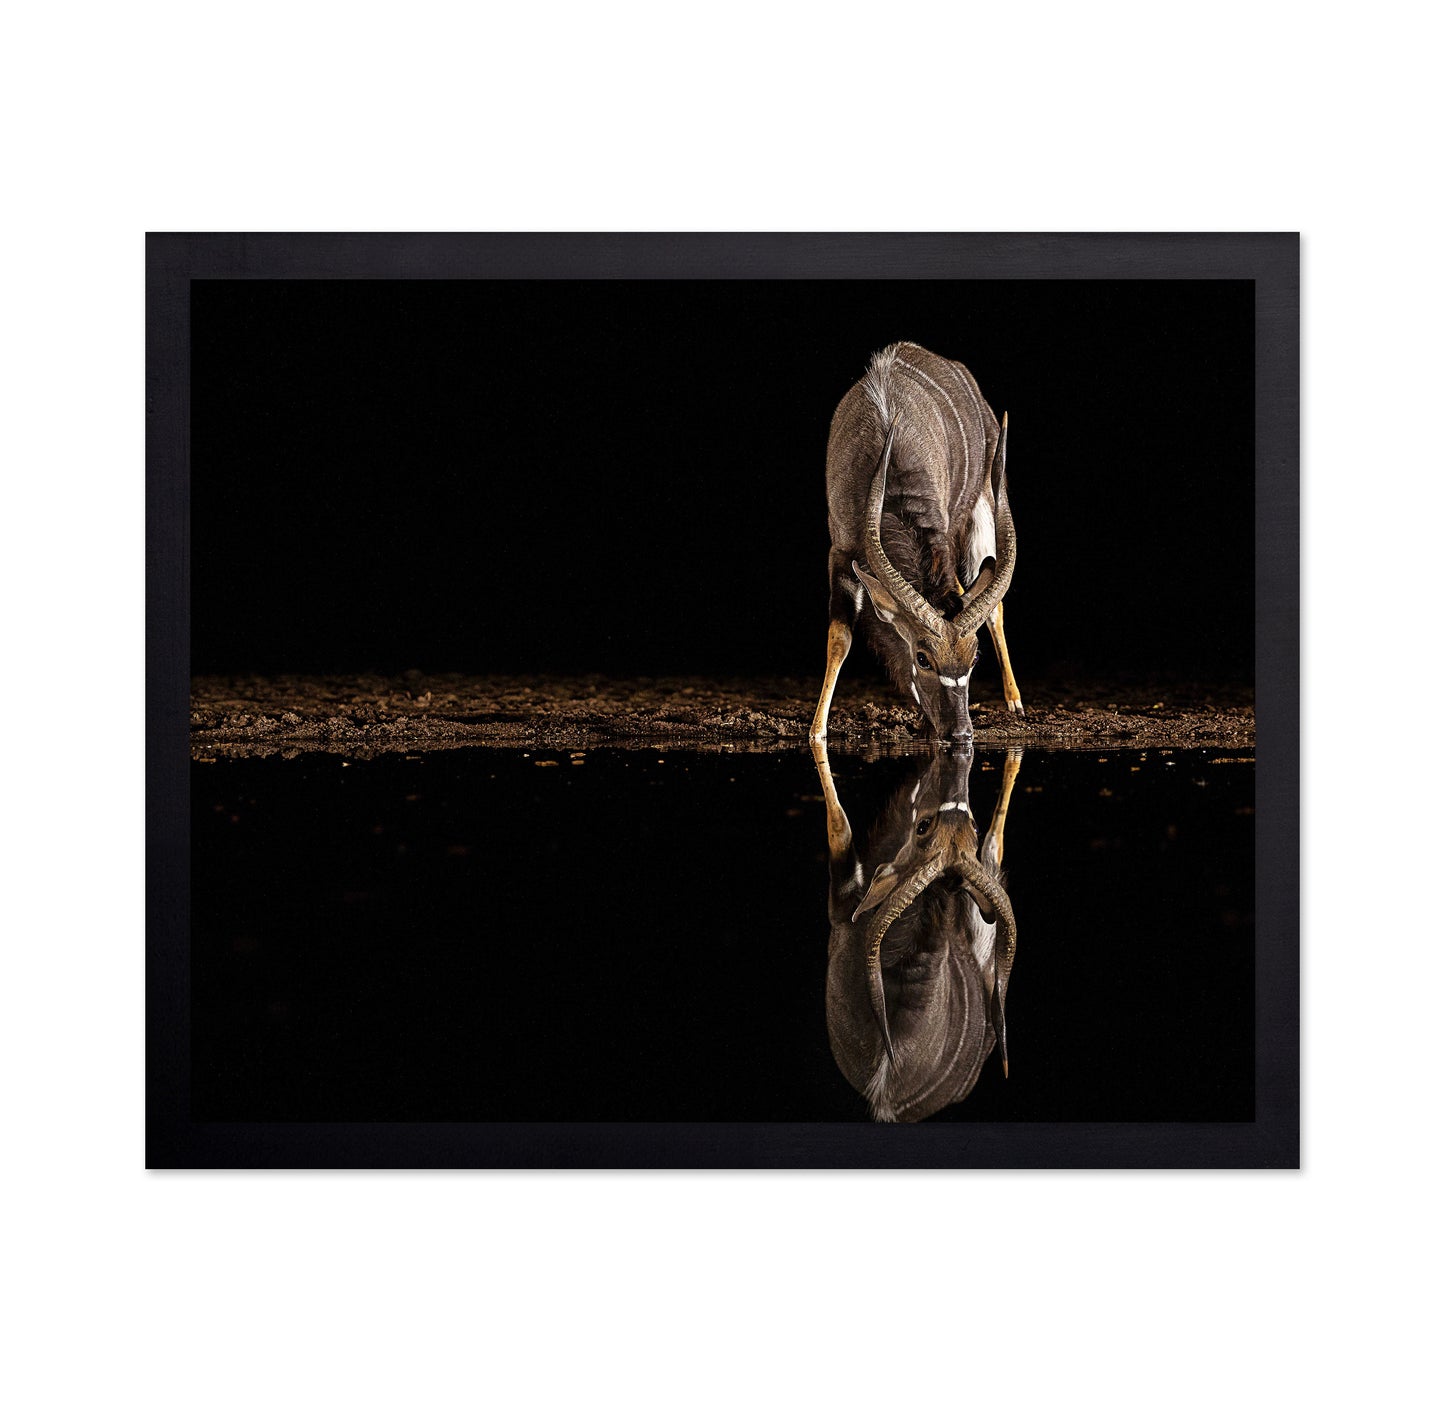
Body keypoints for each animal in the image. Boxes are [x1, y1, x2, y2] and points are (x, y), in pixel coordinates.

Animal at [809, 343, 1023, 745]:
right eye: (922, 658)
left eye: (974, 659)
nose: (961, 733)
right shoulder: (840, 553)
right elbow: (839, 638)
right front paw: (816, 731)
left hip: (983, 508)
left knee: (993, 606)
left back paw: (1016, 703)